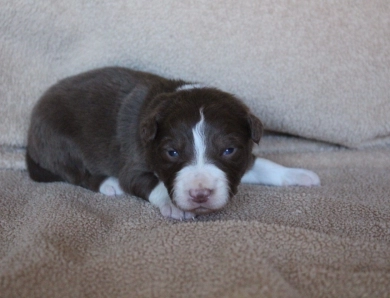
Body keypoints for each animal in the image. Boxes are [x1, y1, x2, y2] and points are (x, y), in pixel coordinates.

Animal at [25, 67, 320, 219]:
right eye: (172, 152)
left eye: (228, 150)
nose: (200, 194)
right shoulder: (134, 163)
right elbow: (151, 183)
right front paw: (173, 204)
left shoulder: (243, 154)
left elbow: (263, 164)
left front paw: (297, 175)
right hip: (59, 140)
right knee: (79, 174)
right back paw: (109, 184)